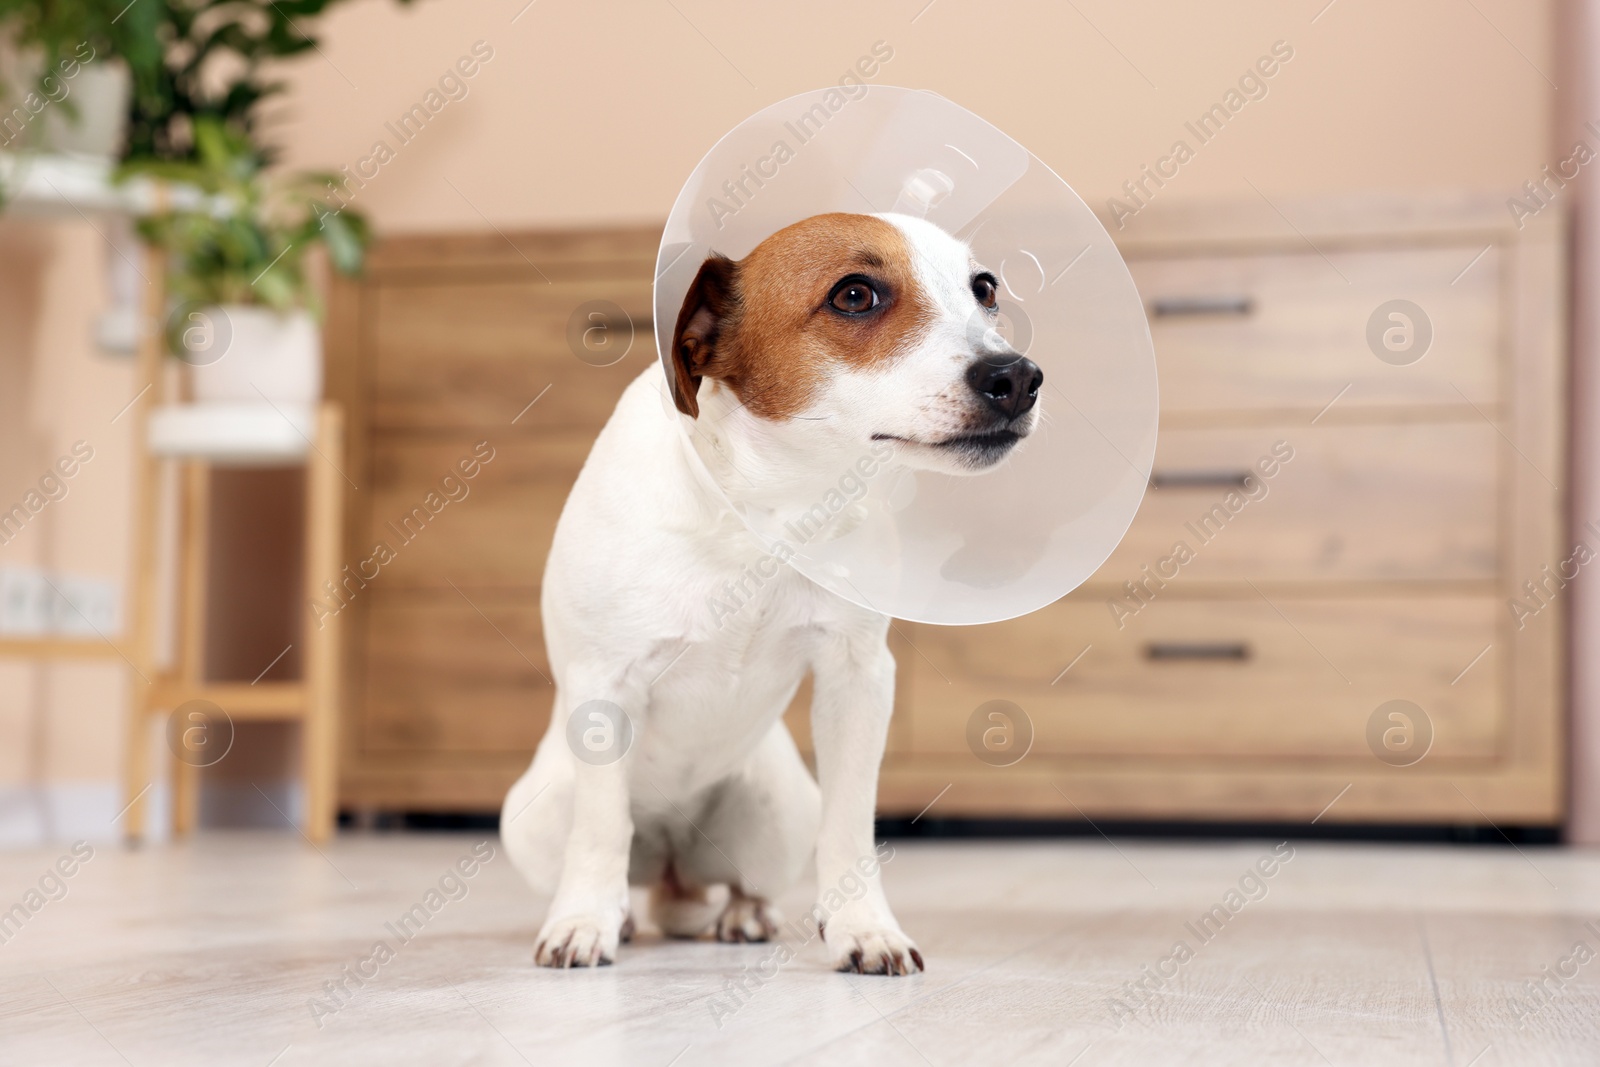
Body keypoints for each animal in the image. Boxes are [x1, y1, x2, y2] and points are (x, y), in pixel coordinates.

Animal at [505, 207, 1043, 979]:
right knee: (611, 851)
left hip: (776, 811)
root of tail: (671, 863)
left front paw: (862, 928)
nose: (1019, 376)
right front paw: (583, 923)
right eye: (855, 295)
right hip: (535, 816)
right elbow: (602, 828)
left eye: (985, 288)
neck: (765, 503)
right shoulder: (604, 683)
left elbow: (849, 828)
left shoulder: (856, 679)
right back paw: (620, 915)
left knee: (743, 881)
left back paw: (744, 914)